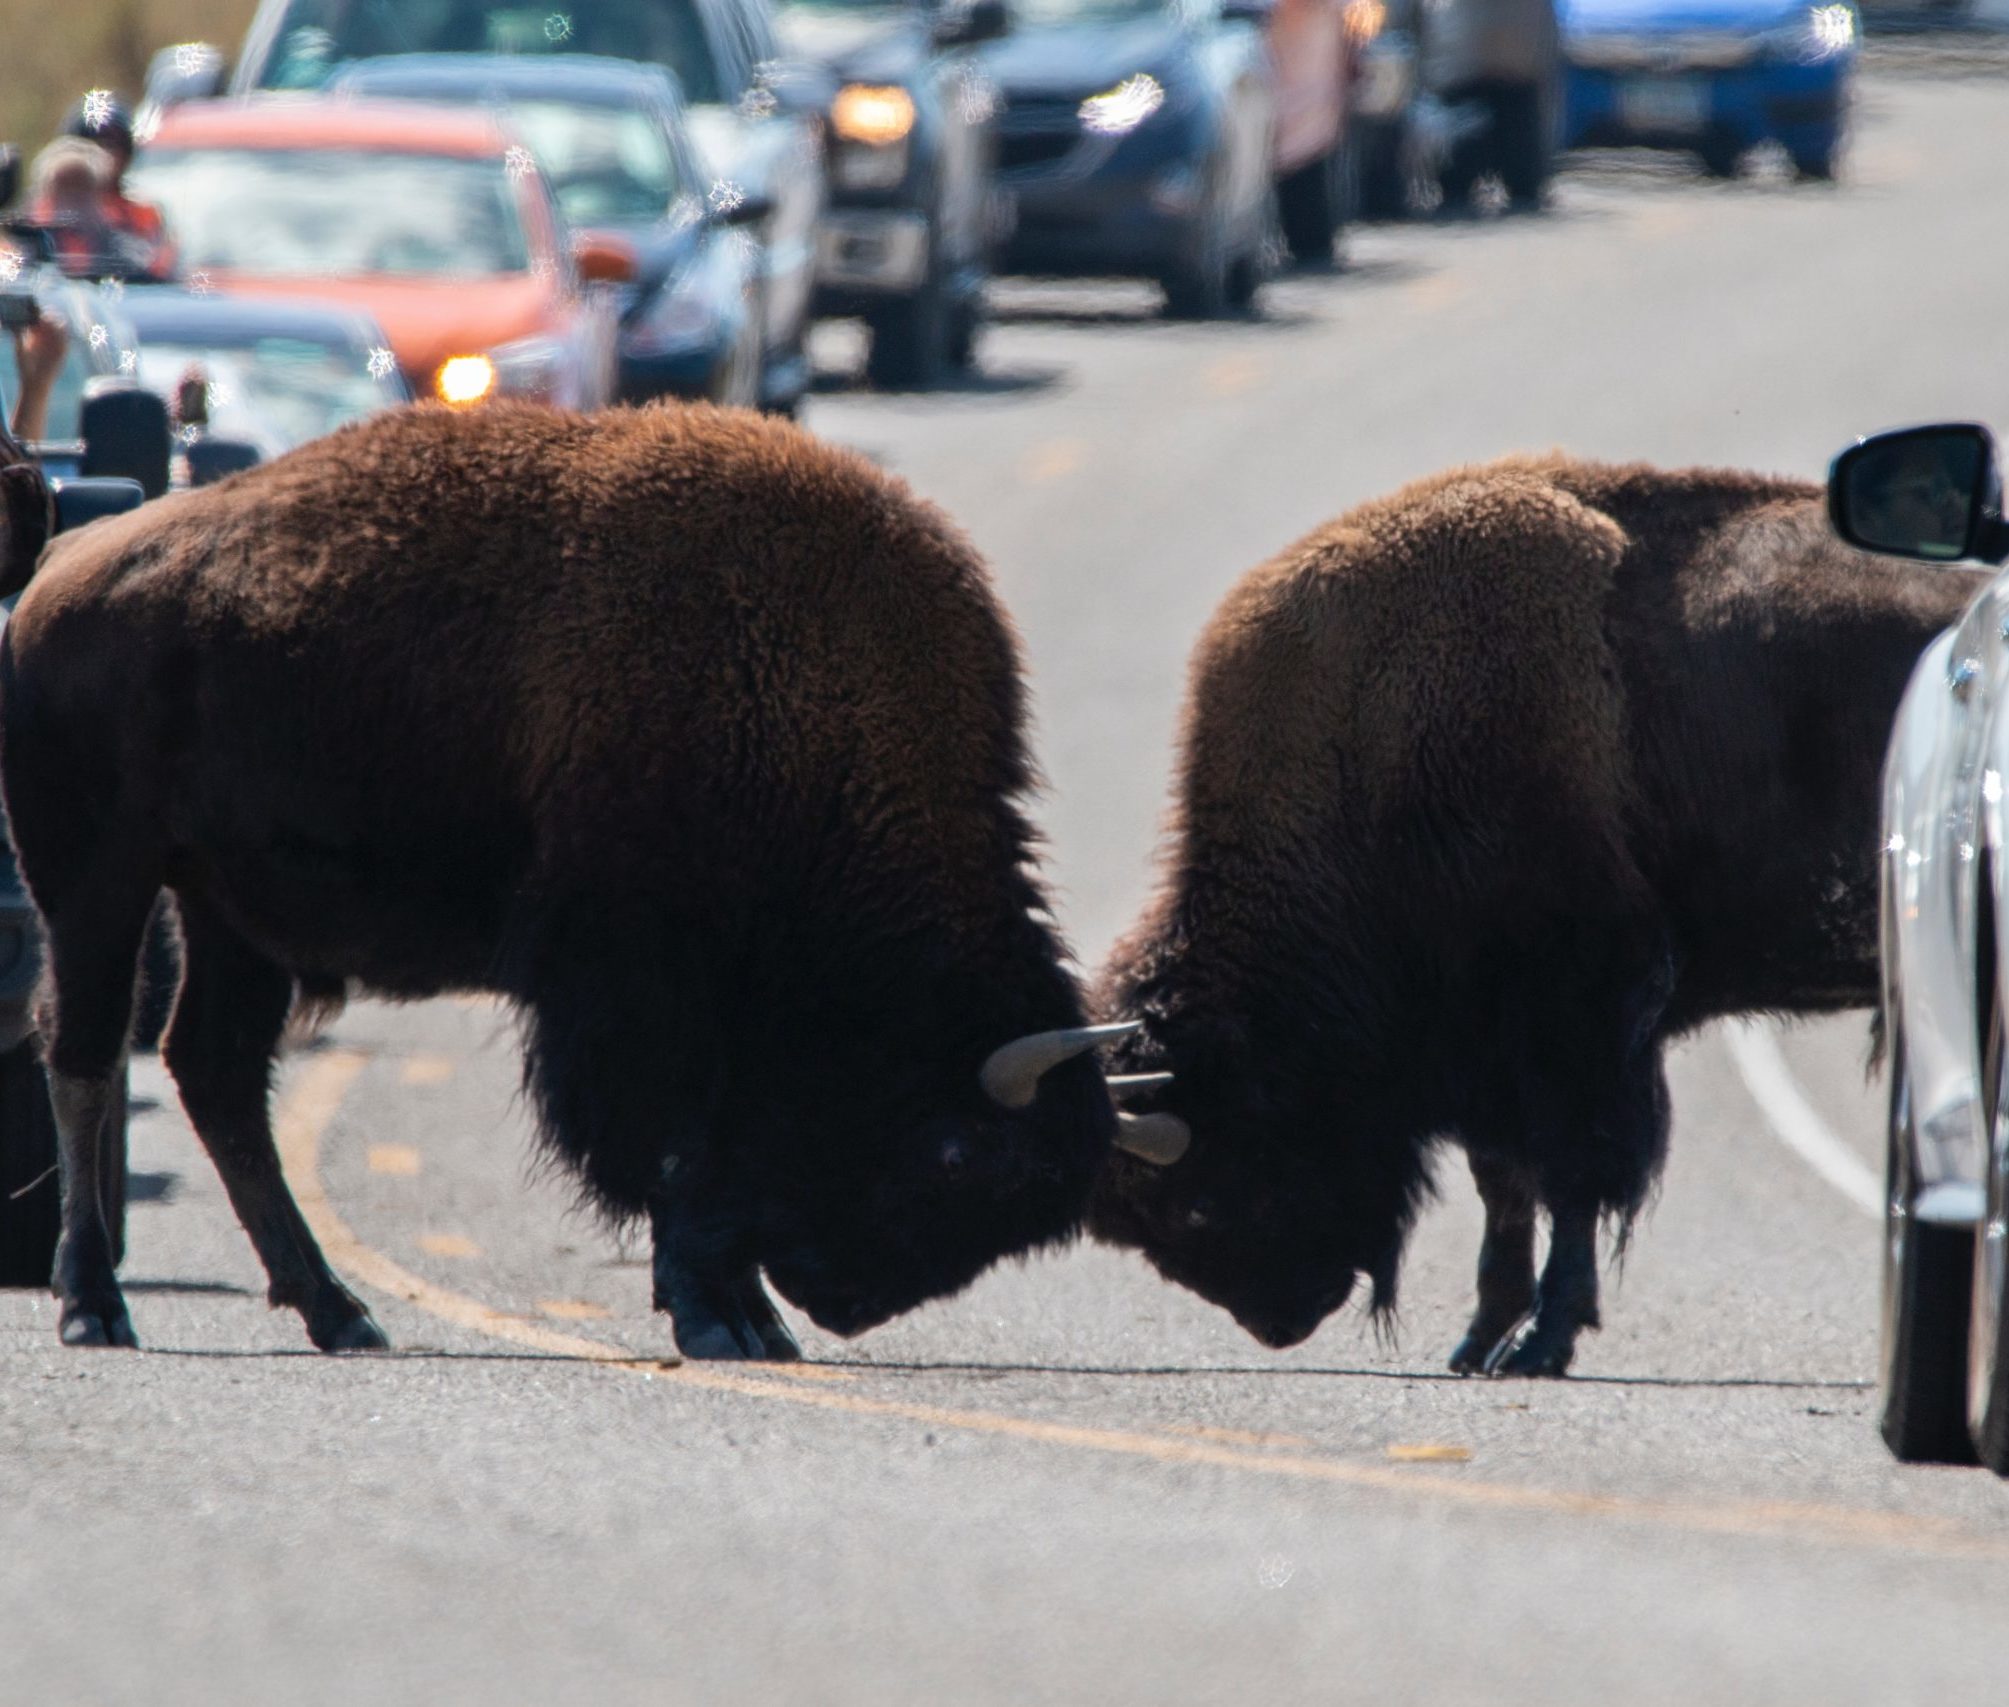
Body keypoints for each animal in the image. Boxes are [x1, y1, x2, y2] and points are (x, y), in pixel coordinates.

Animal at [0, 399, 1181, 1357]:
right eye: (954, 1155)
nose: (846, 1305)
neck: (815, 707)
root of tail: (64, 566)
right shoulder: (633, 990)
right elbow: (670, 1151)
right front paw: (720, 1317)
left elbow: (706, 1155)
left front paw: (750, 1316)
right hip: (98, 881)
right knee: (85, 1051)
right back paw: (95, 1305)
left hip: (229, 913)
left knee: (215, 1074)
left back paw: (339, 1311)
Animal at [1084, 449, 1976, 1373]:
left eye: (1198, 1193)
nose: (1278, 1318)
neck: (1366, 744)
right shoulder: (1484, 1050)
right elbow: (1505, 1184)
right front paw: (1480, 1337)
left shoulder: (1576, 1022)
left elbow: (1572, 1180)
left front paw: (1539, 1340)